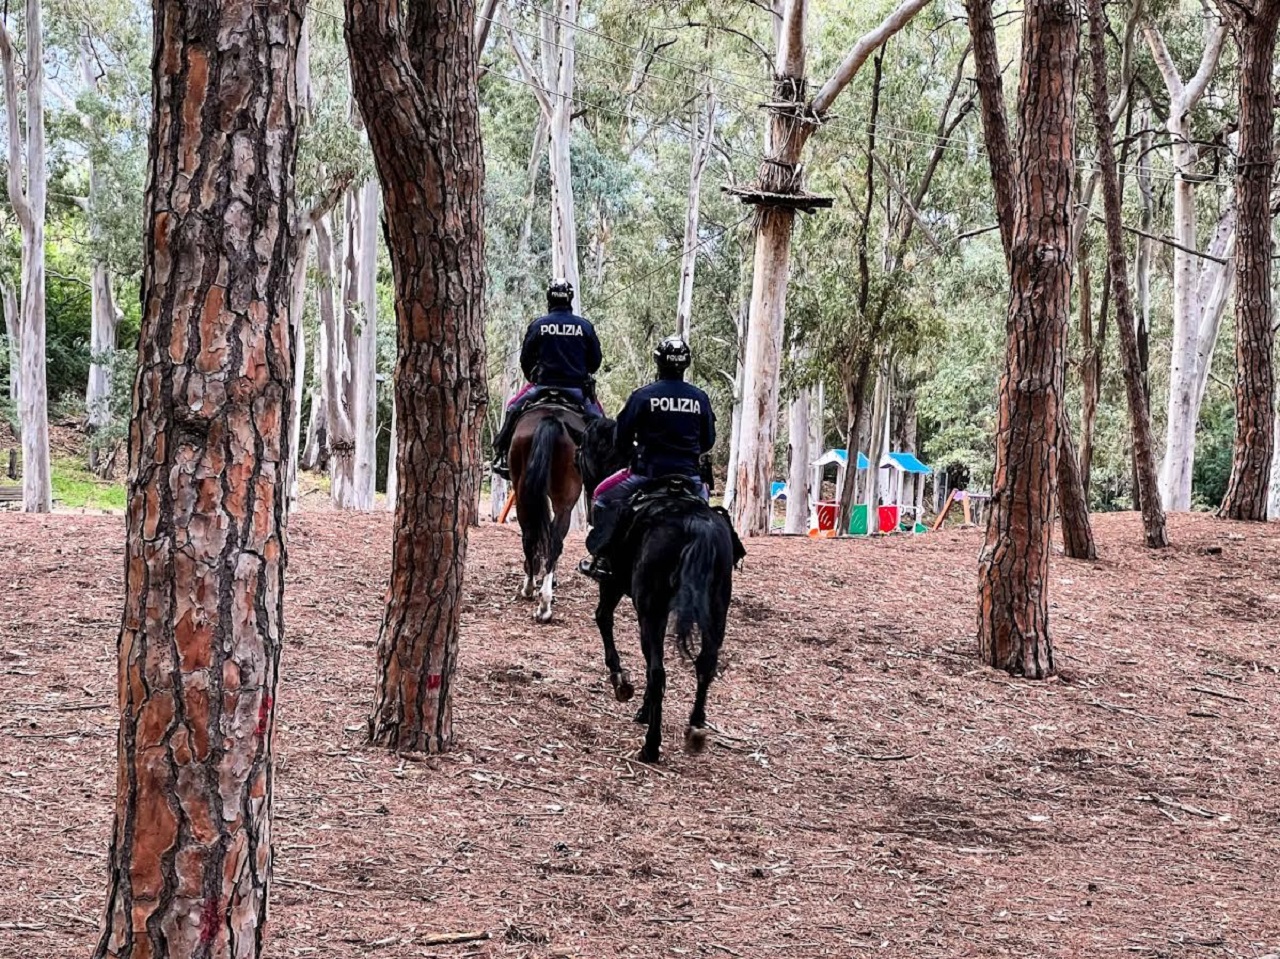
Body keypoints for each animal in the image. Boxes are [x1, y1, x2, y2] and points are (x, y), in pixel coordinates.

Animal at [512, 402, 586, 622]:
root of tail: (552, 417)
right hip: (564, 499)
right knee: (553, 541)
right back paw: (544, 603)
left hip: (523, 491)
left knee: (531, 537)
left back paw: (531, 589)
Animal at [581, 414, 742, 757]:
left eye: (582, 449)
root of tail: (694, 523)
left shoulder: (612, 586)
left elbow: (603, 619)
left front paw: (621, 681)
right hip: (715, 610)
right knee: (705, 664)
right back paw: (695, 728)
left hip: (650, 611)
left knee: (657, 671)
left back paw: (651, 746)